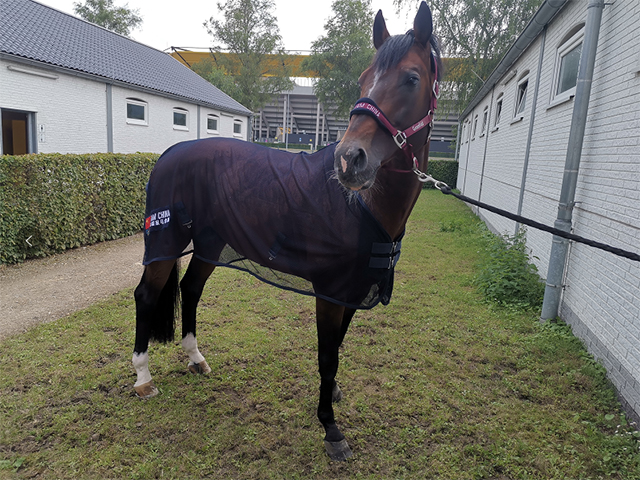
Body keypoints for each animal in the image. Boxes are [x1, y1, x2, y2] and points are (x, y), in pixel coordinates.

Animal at [132, 1, 441, 461]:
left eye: (412, 78)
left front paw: (333, 398)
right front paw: (331, 428)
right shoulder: (330, 293)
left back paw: (196, 359)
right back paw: (143, 379)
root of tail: (170, 151)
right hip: (166, 241)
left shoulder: (350, 291)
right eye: (364, 78)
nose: (349, 160)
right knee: (147, 296)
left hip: (210, 244)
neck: (362, 206)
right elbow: (328, 356)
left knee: (191, 289)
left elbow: (337, 349)